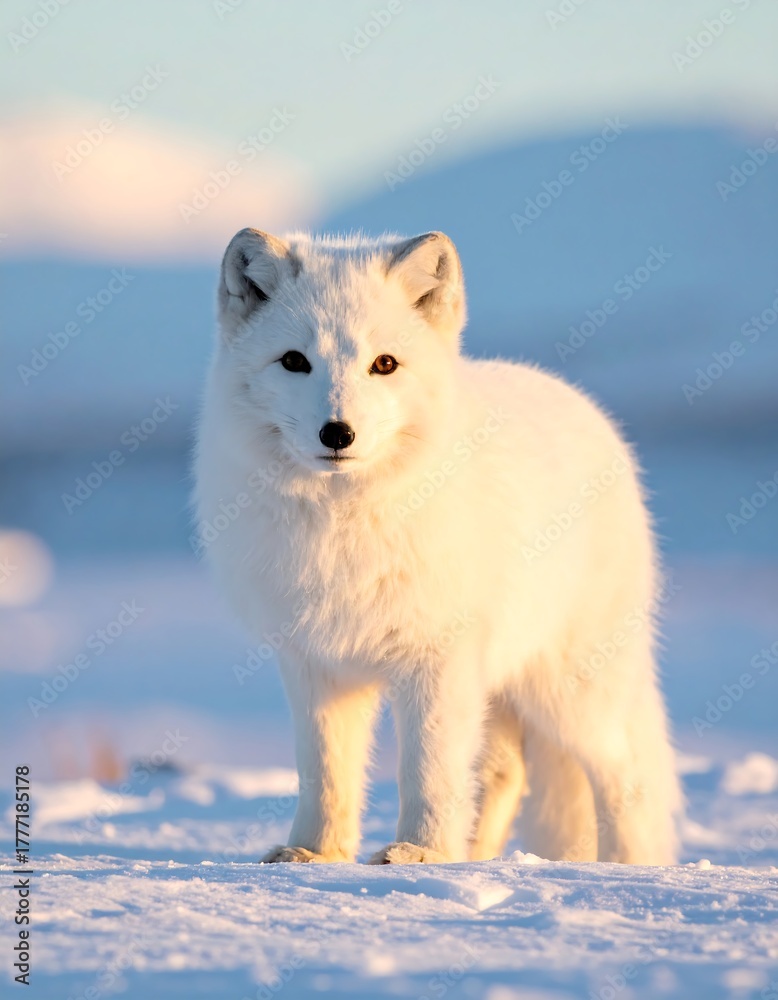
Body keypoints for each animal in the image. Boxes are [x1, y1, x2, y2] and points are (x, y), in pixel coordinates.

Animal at [194, 227, 682, 866]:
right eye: (295, 361)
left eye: (384, 364)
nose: (337, 433)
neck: (345, 523)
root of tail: (589, 410)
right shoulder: (315, 662)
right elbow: (324, 772)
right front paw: (315, 855)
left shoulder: (438, 656)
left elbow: (427, 769)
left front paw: (419, 853)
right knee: (505, 772)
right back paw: (474, 857)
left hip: (571, 690)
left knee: (626, 777)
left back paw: (627, 868)